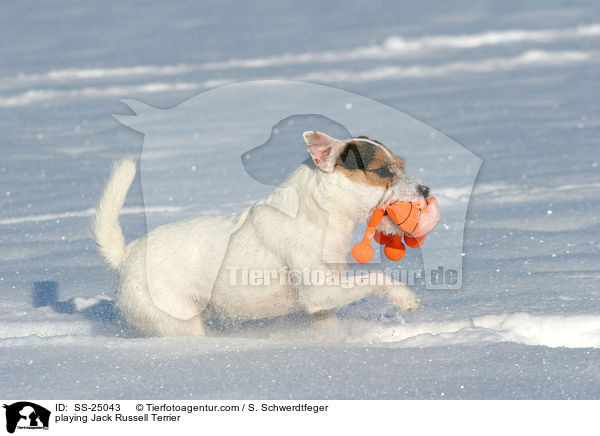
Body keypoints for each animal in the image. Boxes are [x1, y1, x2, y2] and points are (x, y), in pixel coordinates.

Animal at [92, 131, 432, 336]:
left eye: (401, 165)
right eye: (383, 171)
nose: (425, 190)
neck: (322, 214)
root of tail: (125, 255)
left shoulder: (323, 306)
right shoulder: (319, 291)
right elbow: (376, 278)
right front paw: (404, 297)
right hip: (176, 319)